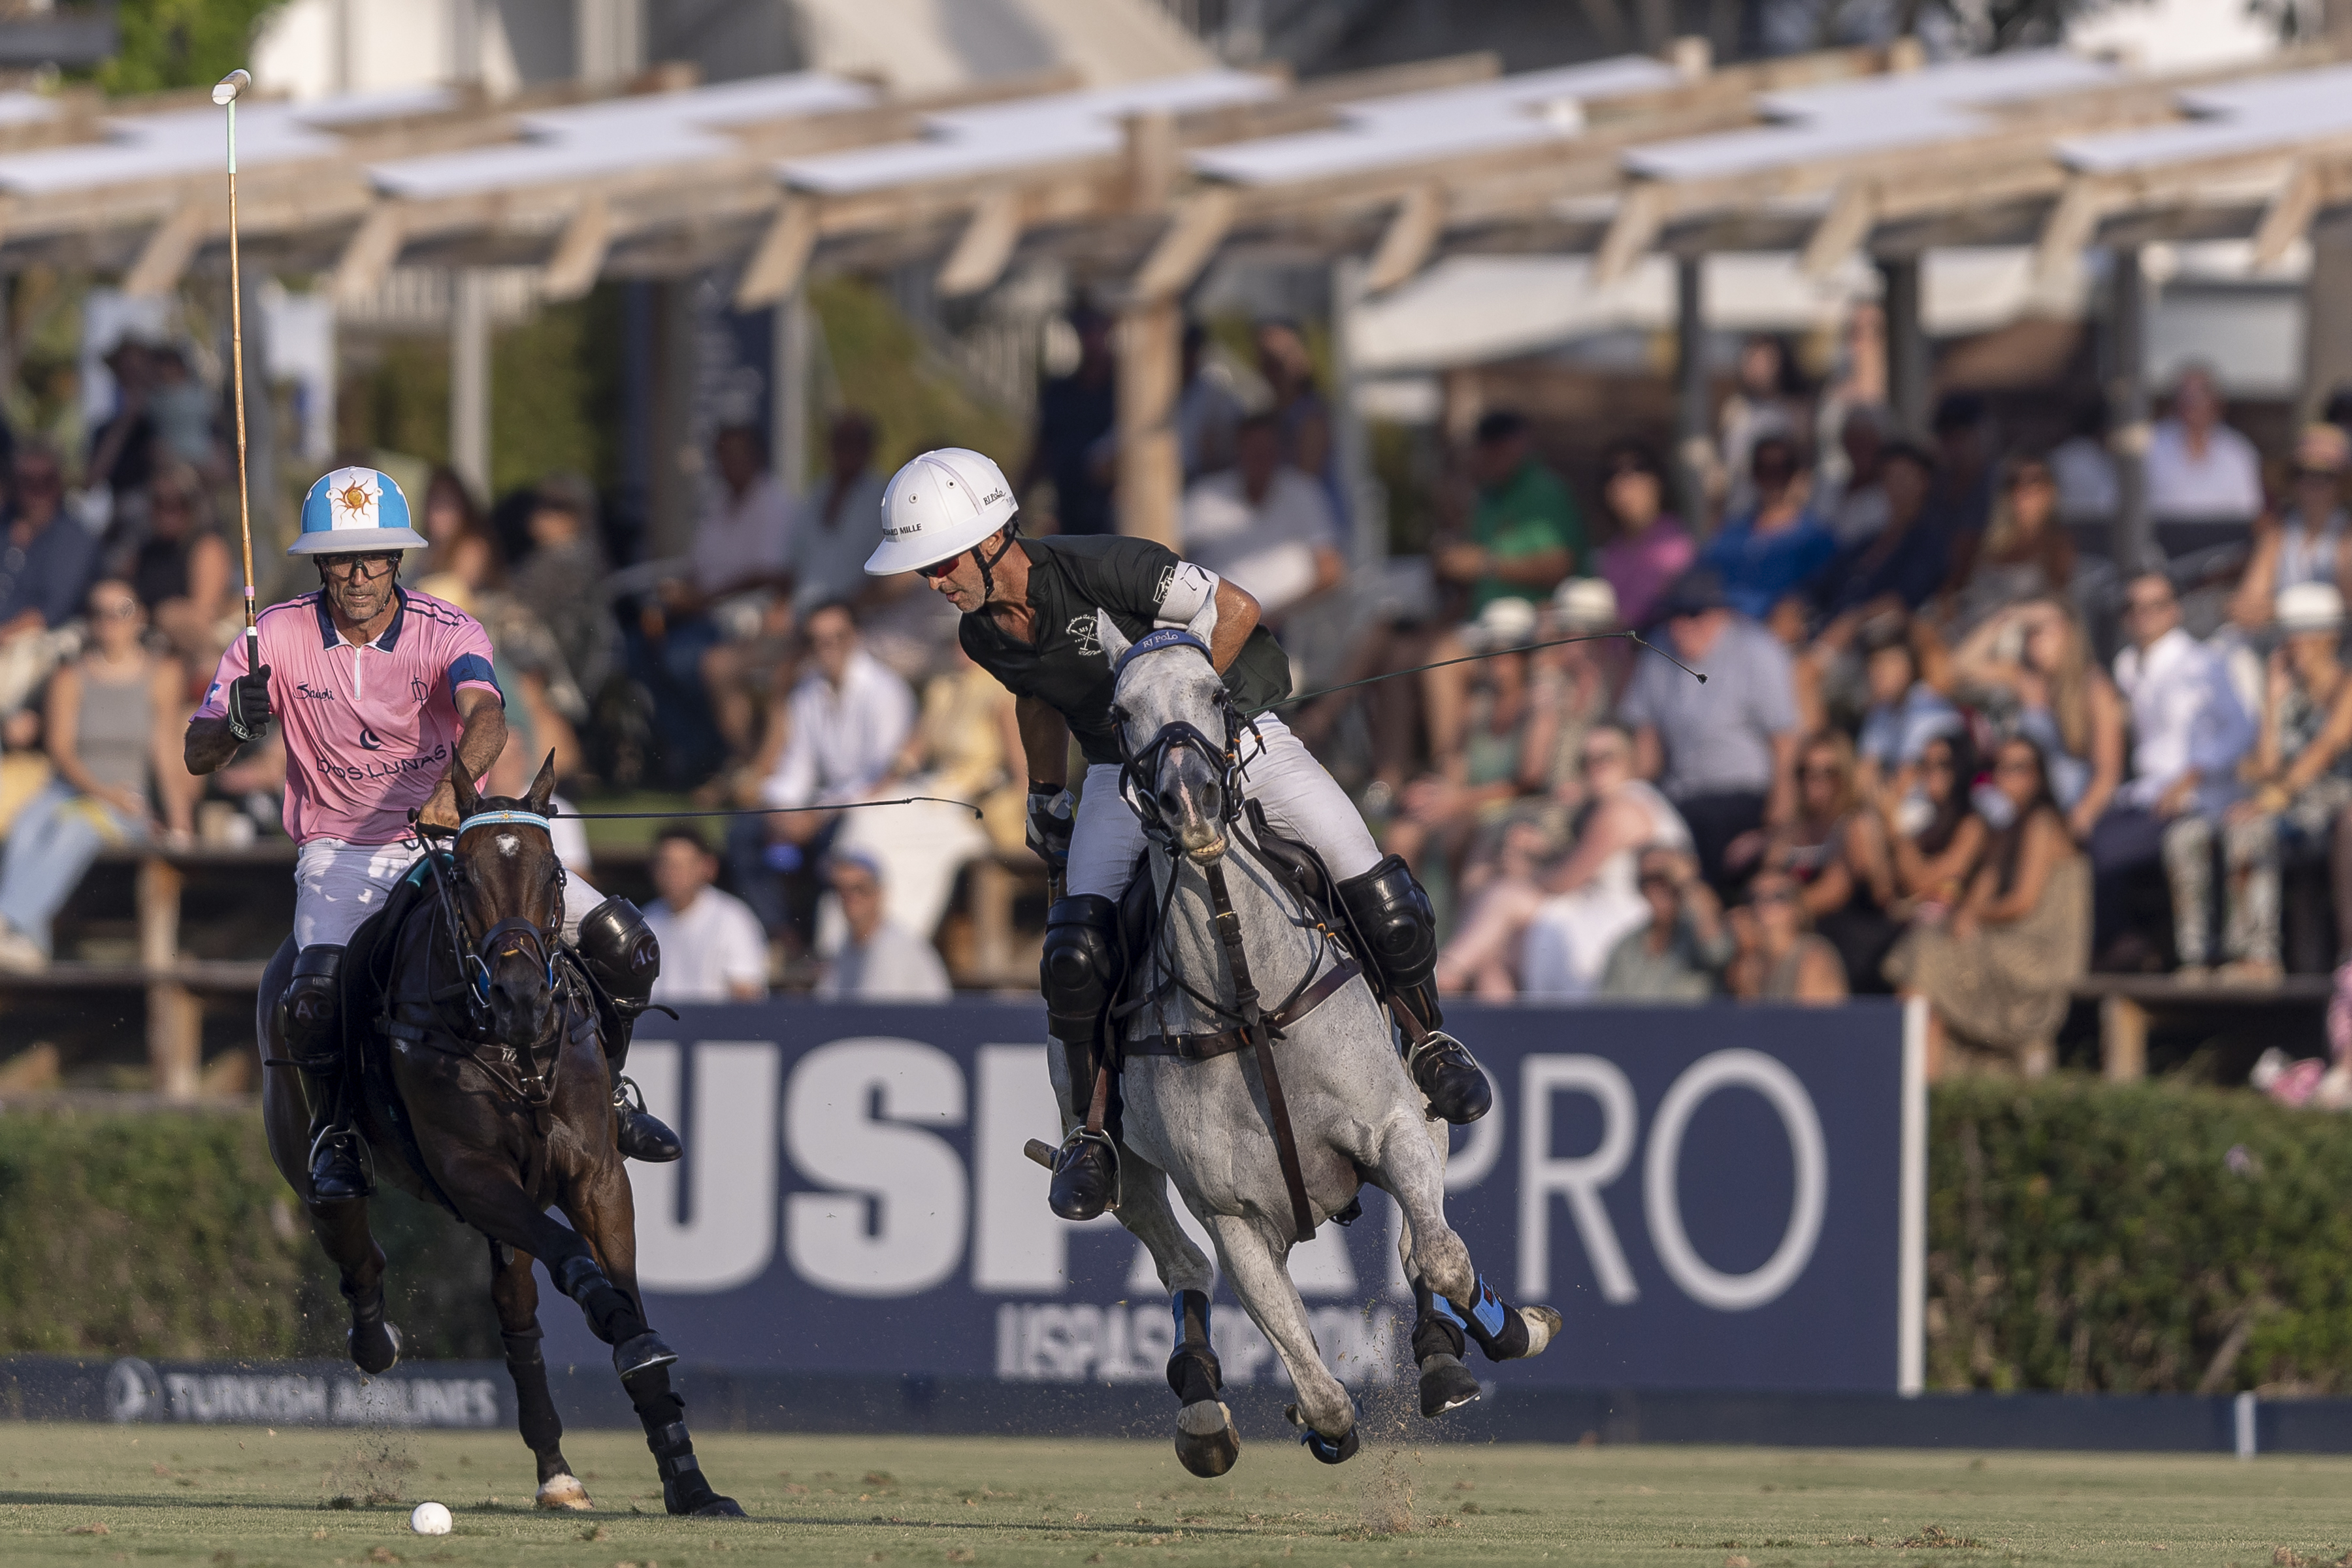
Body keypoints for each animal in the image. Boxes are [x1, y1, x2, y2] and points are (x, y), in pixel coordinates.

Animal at [259, 761, 738, 1523]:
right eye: (464, 877)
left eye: (556, 873)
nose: (520, 997)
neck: (515, 1048)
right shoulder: (473, 1174)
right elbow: (577, 1261)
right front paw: (615, 1322)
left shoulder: (595, 1174)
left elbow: (615, 1284)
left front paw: (690, 1482)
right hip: (305, 1132)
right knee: (348, 1225)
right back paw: (373, 1340)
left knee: (516, 1318)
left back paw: (557, 1474)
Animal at [1068, 602, 1561, 1476]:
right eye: (1119, 714)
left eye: (1217, 693)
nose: (1192, 802)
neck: (1248, 1000)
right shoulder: (1232, 1212)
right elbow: (1321, 1386)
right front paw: (1313, 1417)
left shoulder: (1394, 1125)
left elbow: (1441, 1257)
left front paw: (1509, 1332)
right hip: (1129, 1165)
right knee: (1177, 1256)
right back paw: (1202, 1409)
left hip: (1425, 1103)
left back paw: (1450, 1357)